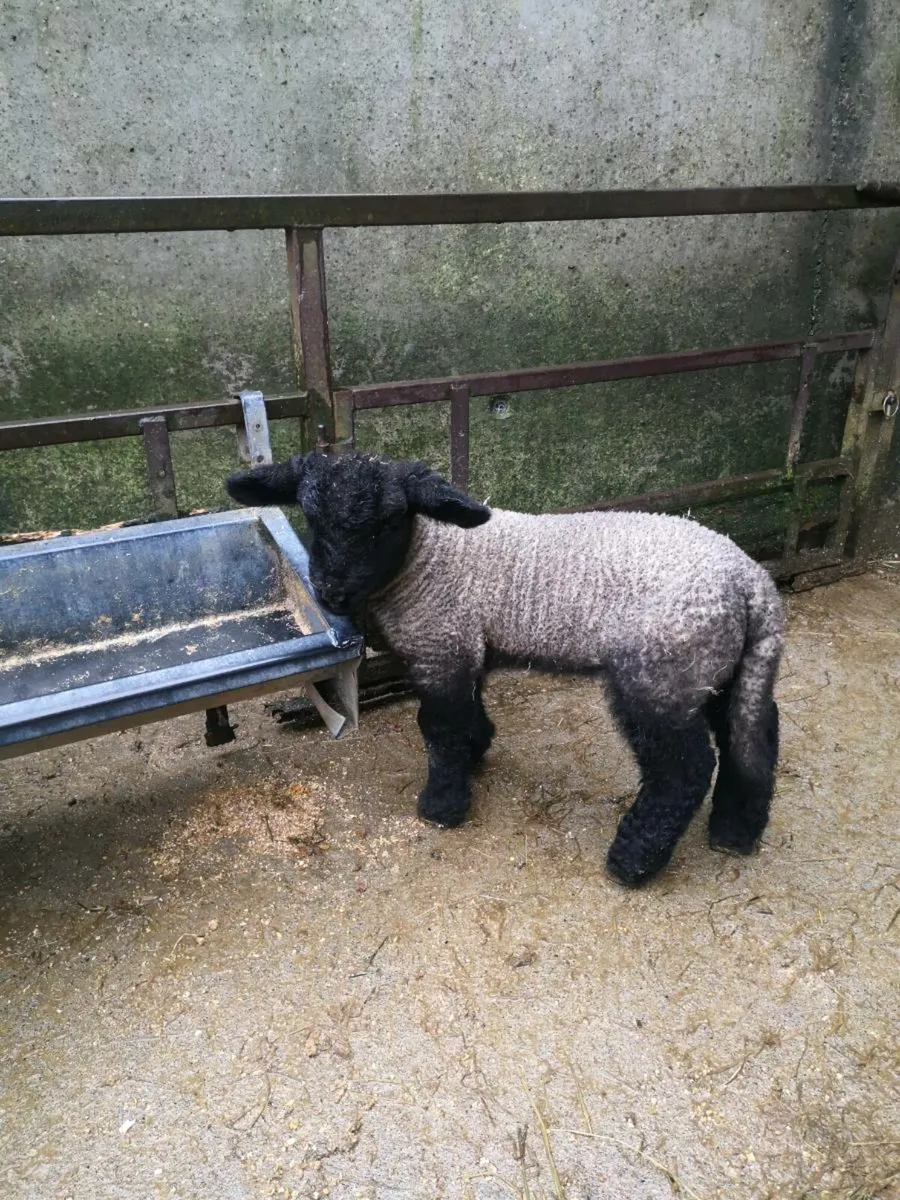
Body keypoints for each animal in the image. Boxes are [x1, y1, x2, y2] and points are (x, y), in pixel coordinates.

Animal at [226, 451, 784, 887]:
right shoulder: (465, 645)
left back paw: (633, 860)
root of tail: (752, 583)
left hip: (659, 674)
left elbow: (440, 727)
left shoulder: (439, 646)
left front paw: (443, 805)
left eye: (386, 522)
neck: (427, 557)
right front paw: (477, 752)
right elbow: (467, 711)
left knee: (683, 771)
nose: (333, 592)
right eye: (312, 518)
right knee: (753, 738)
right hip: (718, 671)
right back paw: (735, 831)